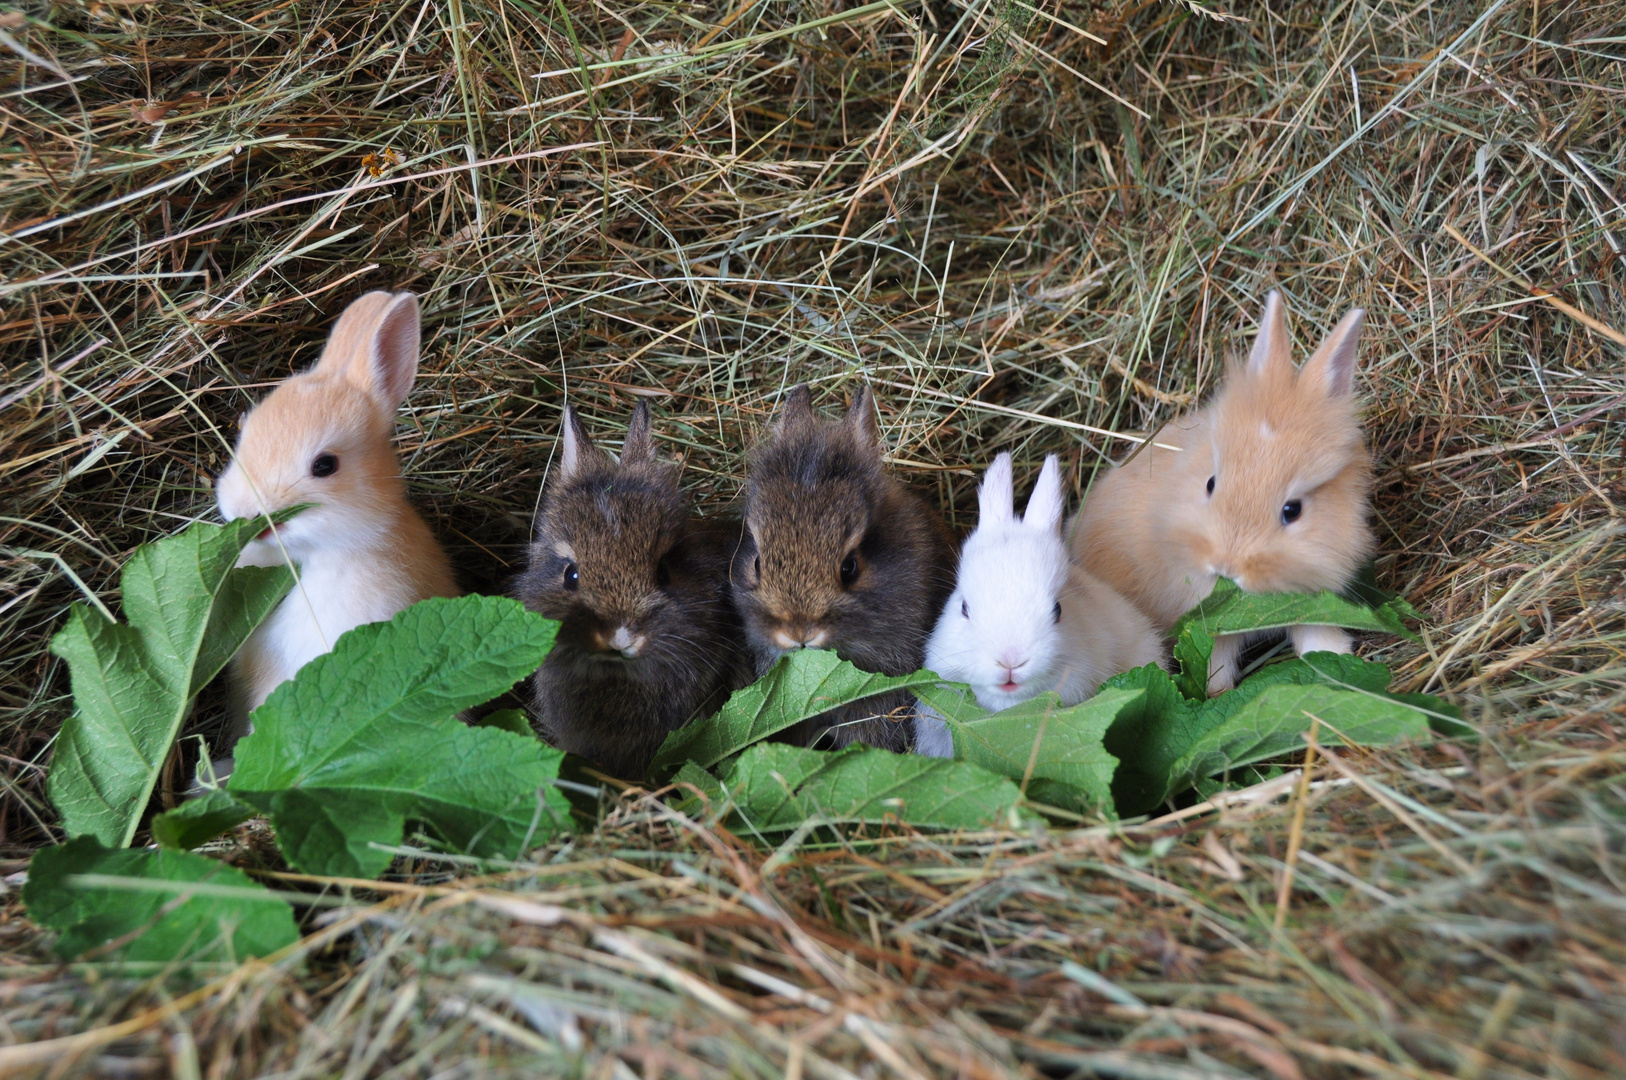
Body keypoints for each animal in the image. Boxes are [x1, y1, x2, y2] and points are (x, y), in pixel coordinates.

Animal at [1079, 291, 1372, 692]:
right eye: (1211, 483)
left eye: (1292, 510)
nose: (1227, 566)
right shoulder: (1206, 621)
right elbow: (1215, 662)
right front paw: (1216, 694)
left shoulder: (1313, 599)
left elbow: (1319, 639)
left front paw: (1345, 665)